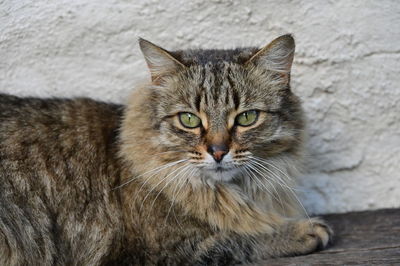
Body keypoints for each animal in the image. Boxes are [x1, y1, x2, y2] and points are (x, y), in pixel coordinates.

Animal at [0, 34, 332, 264]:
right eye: (189, 120)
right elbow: (237, 239)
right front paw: (300, 231)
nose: (218, 151)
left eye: (247, 118)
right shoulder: (157, 252)